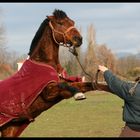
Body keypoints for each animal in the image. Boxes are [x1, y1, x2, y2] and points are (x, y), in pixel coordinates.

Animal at [0, 9, 111, 137]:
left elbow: (90, 84)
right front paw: (79, 95)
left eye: (72, 22)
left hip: (11, 128)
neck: (46, 63)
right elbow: (65, 85)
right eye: (60, 23)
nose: (79, 39)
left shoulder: (64, 92)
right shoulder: (49, 92)